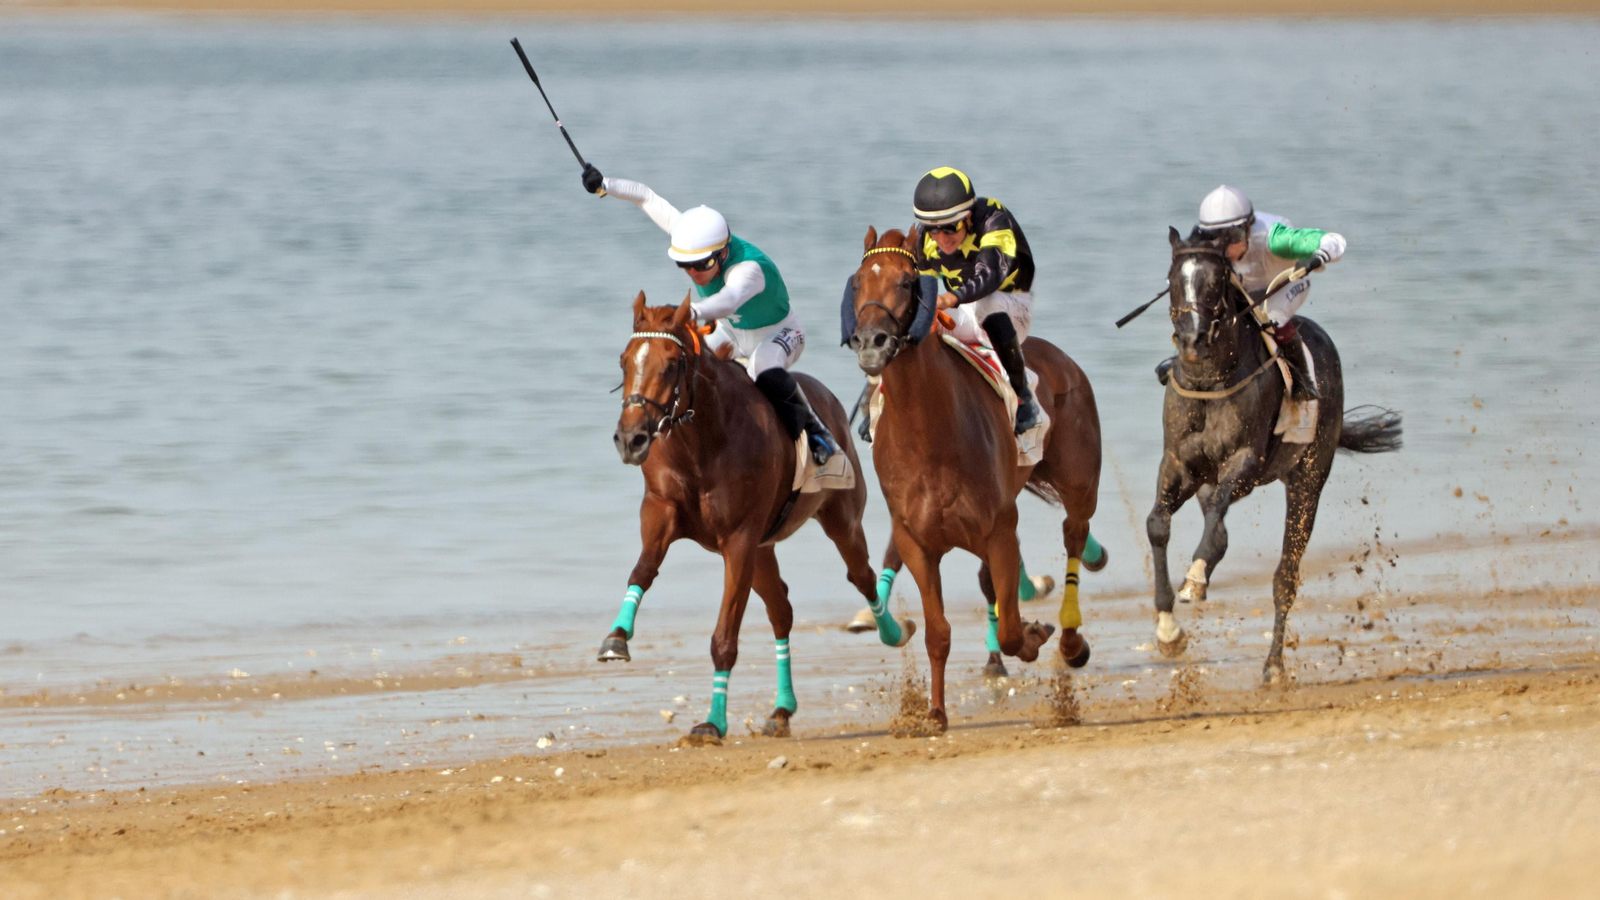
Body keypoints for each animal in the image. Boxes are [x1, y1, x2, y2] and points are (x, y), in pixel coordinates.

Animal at [604, 291, 913, 740]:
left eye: (672, 363)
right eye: (624, 361)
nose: (631, 439)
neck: (703, 441)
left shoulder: (739, 539)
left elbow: (724, 637)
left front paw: (714, 722)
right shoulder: (661, 512)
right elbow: (642, 571)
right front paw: (616, 637)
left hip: (839, 519)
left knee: (863, 577)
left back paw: (893, 631)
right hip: (764, 548)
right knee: (781, 611)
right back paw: (782, 709)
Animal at [847, 227, 1103, 731]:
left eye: (908, 281)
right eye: (859, 281)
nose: (871, 341)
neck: (929, 433)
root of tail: (1062, 359)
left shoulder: (999, 529)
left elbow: (1011, 631)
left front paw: (1034, 634)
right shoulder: (917, 540)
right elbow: (938, 632)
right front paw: (935, 712)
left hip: (1080, 482)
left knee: (1074, 536)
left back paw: (1069, 640)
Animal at [1149, 227, 1403, 683]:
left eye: (1216, 281)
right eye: (1173, 278)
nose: (1192, 339)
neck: (1210, 382)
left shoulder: (1246, 463)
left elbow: (1217, 516)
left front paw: (1194, 577)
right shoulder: (1179, 464)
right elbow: (1158, 526)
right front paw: (1168, 630)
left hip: (1308, 478)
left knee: (1285, 576)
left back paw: (1274, 666)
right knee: (1218, 525)